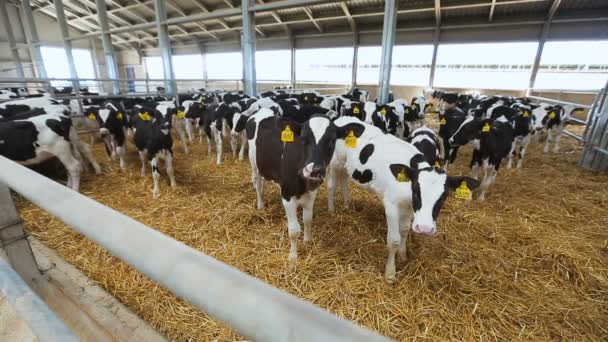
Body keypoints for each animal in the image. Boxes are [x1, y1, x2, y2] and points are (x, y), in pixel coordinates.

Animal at [246, 109, 338, 270]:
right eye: (304, 139)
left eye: (332, 140)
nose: (315, 170)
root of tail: (262, 110)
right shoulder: (287, 195)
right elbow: (294, 230)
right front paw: (293, 258)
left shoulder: (312, 193)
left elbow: (307, 219)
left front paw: (307, 241)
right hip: (254, 163)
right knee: (257, 182)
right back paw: (260, 205)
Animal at [328, 117, 480, 284]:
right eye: (416, 192)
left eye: (443, 197)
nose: (425, 228)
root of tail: (343, 119)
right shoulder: (391, 206)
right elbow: (394, 240)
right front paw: (390, 273)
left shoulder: (408, 208)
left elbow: (405, 230)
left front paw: (403, 255)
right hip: (335, 162)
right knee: (331, 184)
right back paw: (331, 210)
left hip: (346, 165)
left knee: (343, 179)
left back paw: (348, 205)